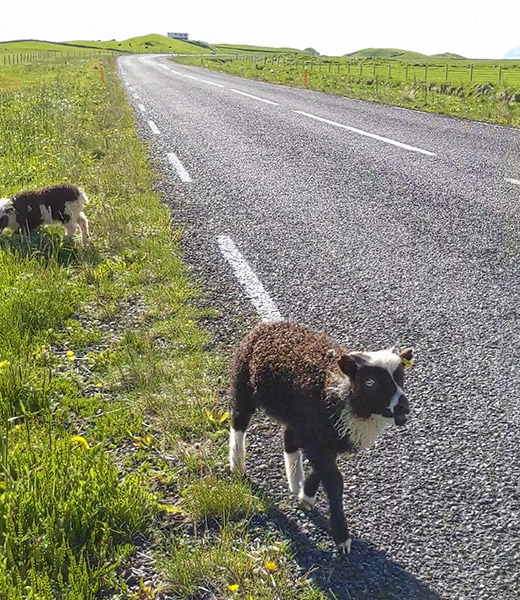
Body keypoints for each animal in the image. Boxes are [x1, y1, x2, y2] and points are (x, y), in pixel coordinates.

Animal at [230, 322, 412, 556]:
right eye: (370, 382)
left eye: (400, 377)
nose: (403, 407)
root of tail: (269, 325)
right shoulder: (317, 438)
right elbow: (335, 482)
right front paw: (342, 537)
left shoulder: (326, 438)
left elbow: (323, 472)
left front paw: (306, 496)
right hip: (243, 382)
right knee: (239, 422)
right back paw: (237, 465)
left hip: (294, 415)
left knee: (289, 439)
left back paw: (295, 481)